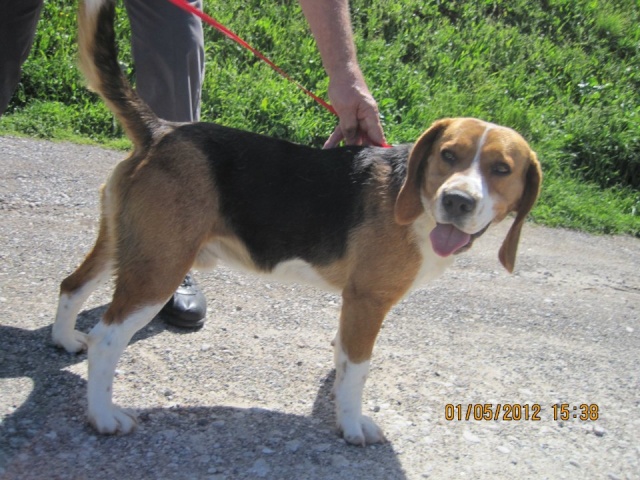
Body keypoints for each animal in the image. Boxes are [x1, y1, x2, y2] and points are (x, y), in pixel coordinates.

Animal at [52, 0, 540, 446]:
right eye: (448, 155)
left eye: (501, 169)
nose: (457, 201)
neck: (416, 195)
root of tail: (162, 130)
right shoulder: (367, 302)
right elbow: (357, 371)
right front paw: (351, 426)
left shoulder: (354, 306)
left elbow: (343, 363)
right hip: (159, 269)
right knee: (106, 339)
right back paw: (104, 416)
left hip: (123, 245)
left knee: (71, 285)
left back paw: (64, 340)